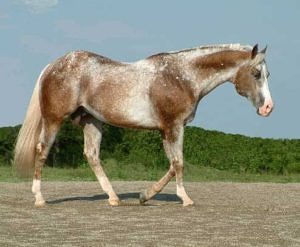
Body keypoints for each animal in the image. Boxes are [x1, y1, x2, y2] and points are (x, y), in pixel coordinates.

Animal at [14, 44, 274, 206]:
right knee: (42, 150)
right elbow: (178, 163)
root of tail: (52, 66)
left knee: (92, 155)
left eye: (267, 74)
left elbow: (173, 164)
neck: (182, 77)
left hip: (91, 121)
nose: (268, 108)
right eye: (256, 73)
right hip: (54, 119)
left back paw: (113, 198)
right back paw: (39, 198)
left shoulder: (166, 130)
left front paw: (144, 195)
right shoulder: (174, 126)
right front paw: (184, 199)